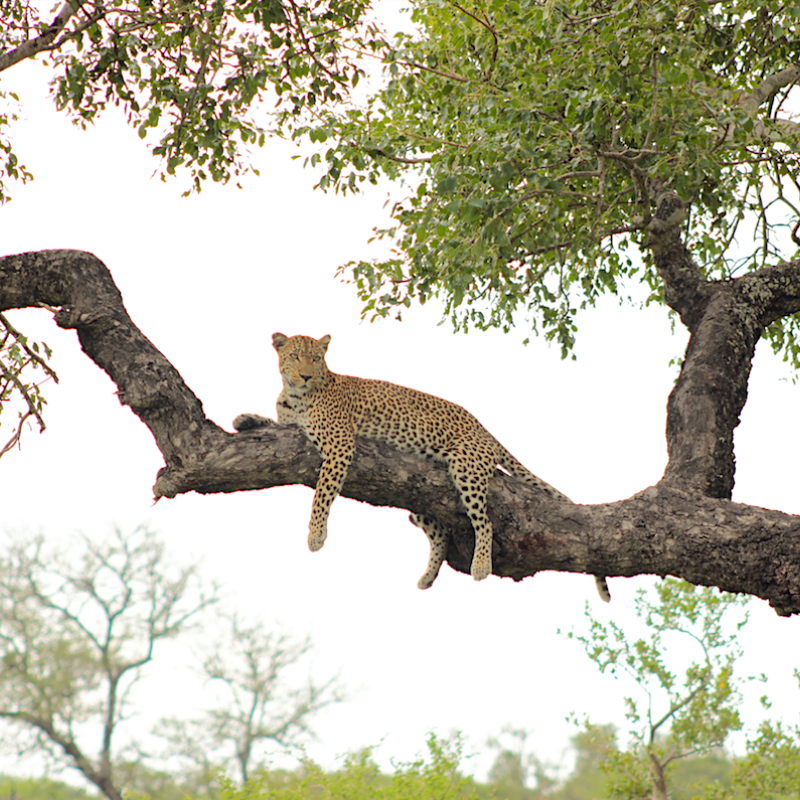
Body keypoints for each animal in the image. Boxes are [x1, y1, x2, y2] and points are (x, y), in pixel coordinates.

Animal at [234, 332, 608, 600]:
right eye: (295, 356)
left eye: (315, 358)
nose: (306, 376)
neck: (297, 397)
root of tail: (483, 428)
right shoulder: (289, 426)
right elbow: (271, 423)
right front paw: (246, 420)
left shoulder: (340, 446)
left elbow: (322, 494)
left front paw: (315, 535)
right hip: (417, 493)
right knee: (440, 531)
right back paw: (428, 577)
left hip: (466, 467)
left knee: (484, 521)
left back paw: (480, 565)